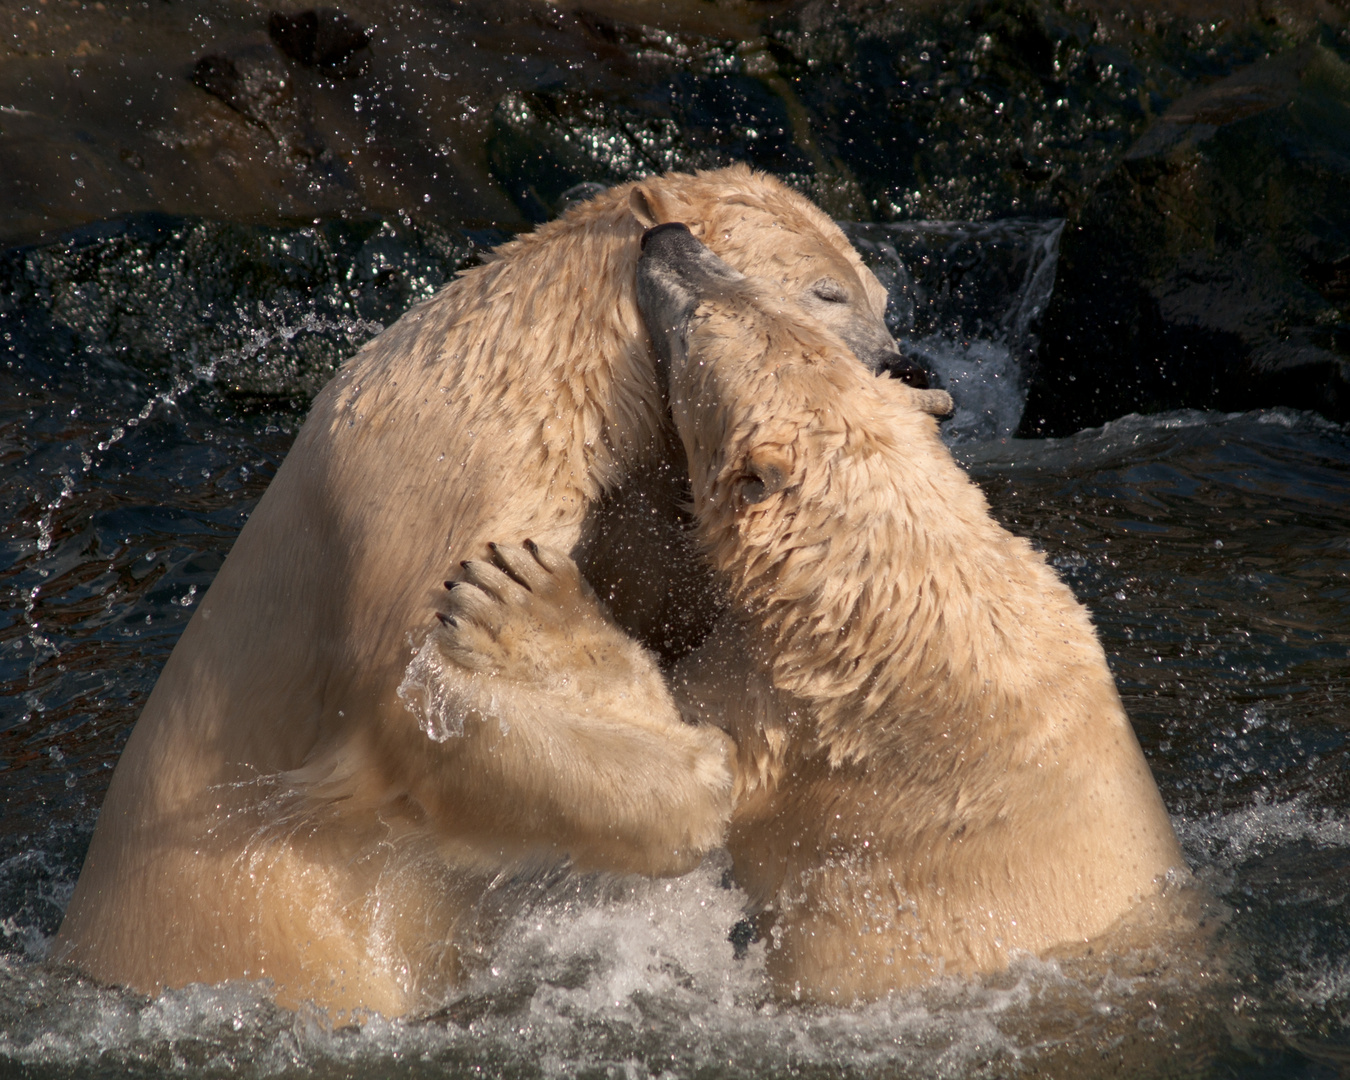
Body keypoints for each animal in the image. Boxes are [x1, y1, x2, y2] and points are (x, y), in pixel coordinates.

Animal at [55, 170, 939, 1020]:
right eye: (826, 291)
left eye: (880, 295)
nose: (907, 369)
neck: (538, 367)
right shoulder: (455, 477)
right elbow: (420, 696)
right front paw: (699, 778)